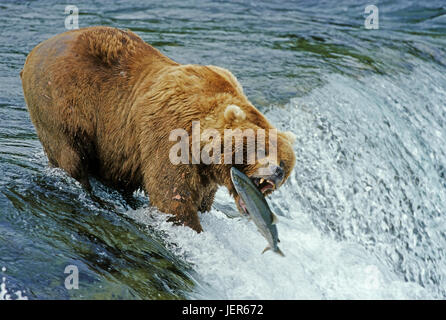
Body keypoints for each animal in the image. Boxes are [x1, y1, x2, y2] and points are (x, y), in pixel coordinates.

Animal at [20, 26, 296, 231]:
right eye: (261, 149)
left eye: (285, 162)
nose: (277, 172)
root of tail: (37, 49)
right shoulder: (170, 131)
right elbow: (171, 194)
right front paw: (190, 227)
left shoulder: (204, 170)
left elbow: (202, 199)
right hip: (63, 101)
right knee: (71, 154)